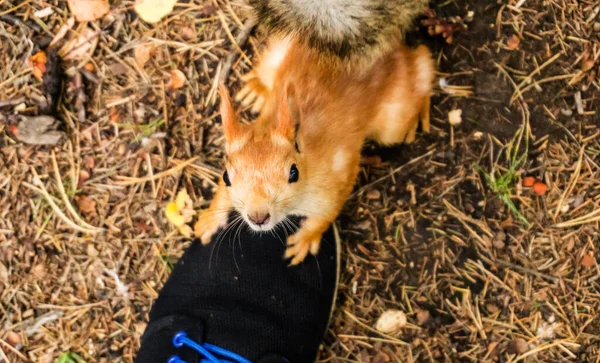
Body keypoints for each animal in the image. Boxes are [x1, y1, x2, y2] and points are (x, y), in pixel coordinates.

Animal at [195, 35, 434, 266]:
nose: (258, 217)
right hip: (283, 43)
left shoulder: (337, 176)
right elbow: (222, 195)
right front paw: (209, 219)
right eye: (226, 176)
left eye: (294, 173)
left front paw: (306, 238)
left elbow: (327, 213)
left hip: (394, 121)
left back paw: (419, 116)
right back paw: (256, 88)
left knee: (421, 66)